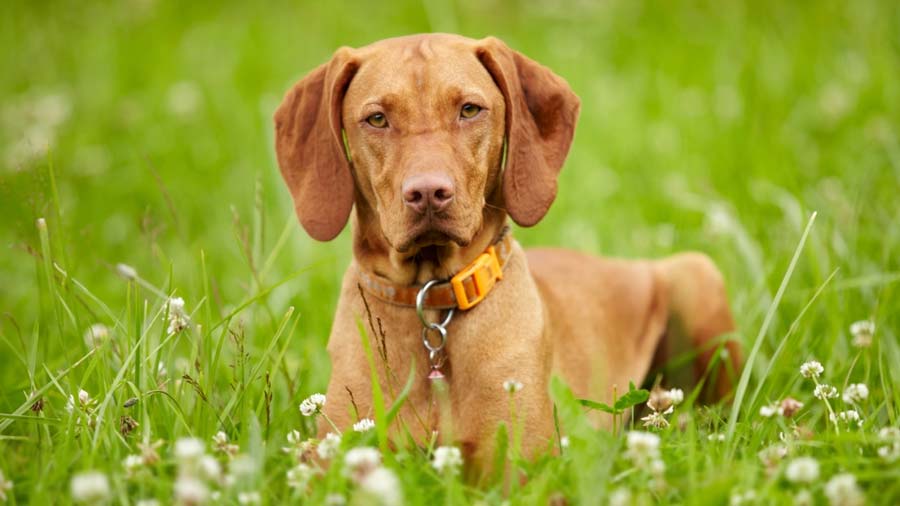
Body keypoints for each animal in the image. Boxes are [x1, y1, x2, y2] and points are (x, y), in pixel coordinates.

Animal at [272, 32, 740, 478]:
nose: (428, 193)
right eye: (377, 119)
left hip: (696, 274)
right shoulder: (334, 458)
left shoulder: (520, 469)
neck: (431, 301)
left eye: (469, 110)